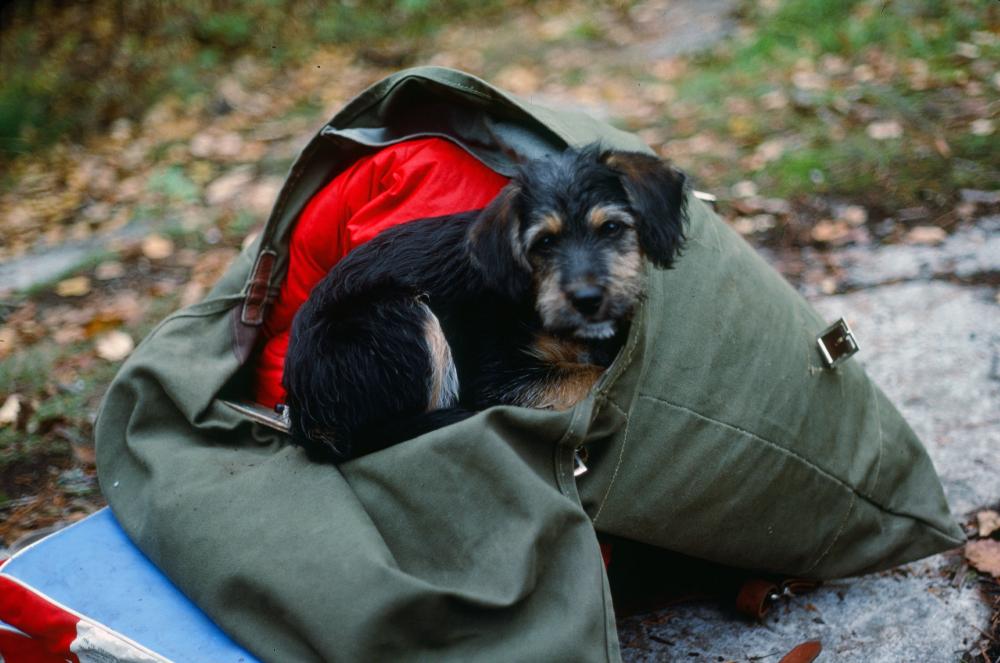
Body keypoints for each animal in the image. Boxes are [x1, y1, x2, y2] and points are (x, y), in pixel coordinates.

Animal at [286, 145, 684, 462]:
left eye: (612, 228)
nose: (587, 300)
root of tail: (305, 416)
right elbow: (588, 375)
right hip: (398, 319)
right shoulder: (495, 379)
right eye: (544, 243)